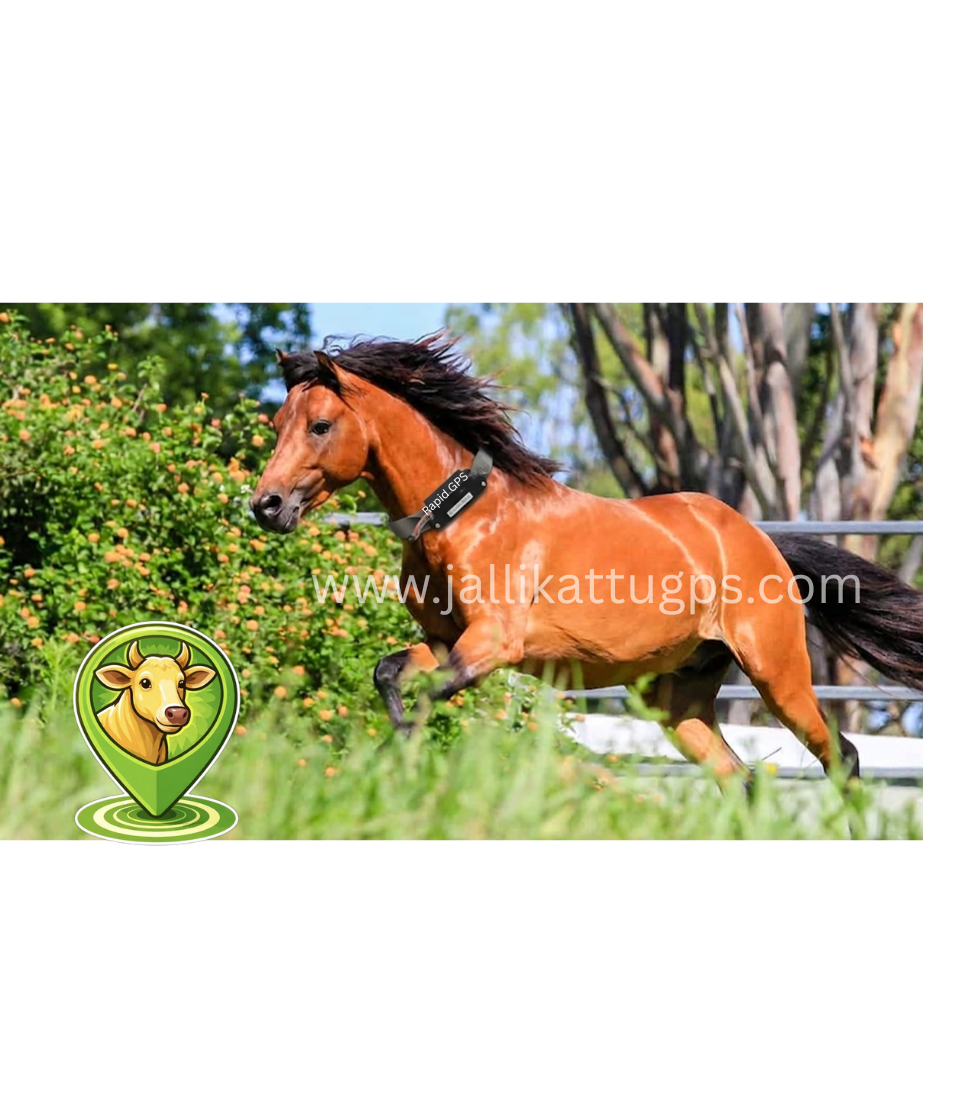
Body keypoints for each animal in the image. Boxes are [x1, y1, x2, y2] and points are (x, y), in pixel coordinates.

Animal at [251, 334, 923, 790]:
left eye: (320, 425)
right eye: (278, 422)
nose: (267, 505)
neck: (463, 517)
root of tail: (760, 542)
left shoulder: (493, 643)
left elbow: (424, 694)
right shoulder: (446, 642)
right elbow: (391, 676)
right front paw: (402, 766)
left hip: (777, 675)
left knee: (843, 758)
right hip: (678, 704)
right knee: (739, 780)